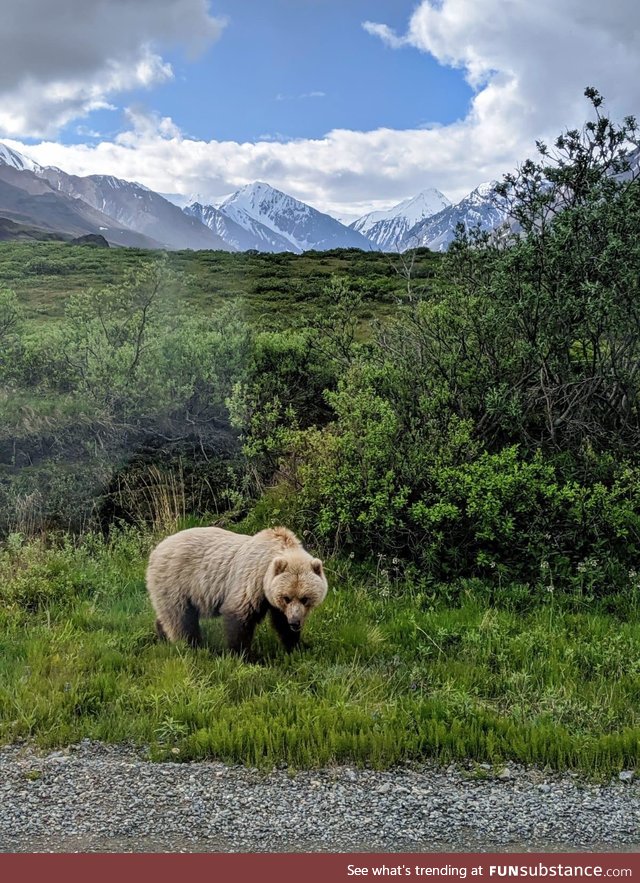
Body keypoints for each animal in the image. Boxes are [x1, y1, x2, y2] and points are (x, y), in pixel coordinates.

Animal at [144, 524, 324, 656]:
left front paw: (299, 646)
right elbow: (239, 616)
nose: (295, 622)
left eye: (305, 598)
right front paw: (247, 655)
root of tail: (156, 550)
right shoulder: (251, 581)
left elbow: (281, 622)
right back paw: (192, 646)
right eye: (286, 597)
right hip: (176, 580)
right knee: (180, 617)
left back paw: (162, 635)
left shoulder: (272, 598)